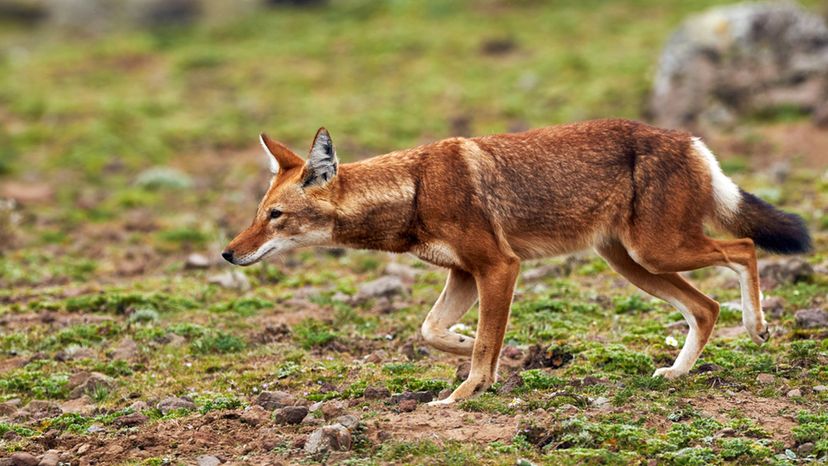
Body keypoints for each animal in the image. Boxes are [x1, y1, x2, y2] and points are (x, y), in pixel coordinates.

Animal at [220, 119, 808, 404]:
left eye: (275, 215)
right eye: (257, 214)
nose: (228, 252)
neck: (414, 189)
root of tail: (689, 139)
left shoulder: (499, 267)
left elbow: (484, 343)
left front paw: (463, 394)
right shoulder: (464, 273)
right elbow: (434, 331)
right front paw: (488, 351)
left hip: (657, 251)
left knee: (744, 249)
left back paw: (757, 328)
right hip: (633, 263)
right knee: (706, 307)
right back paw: (678, 372)